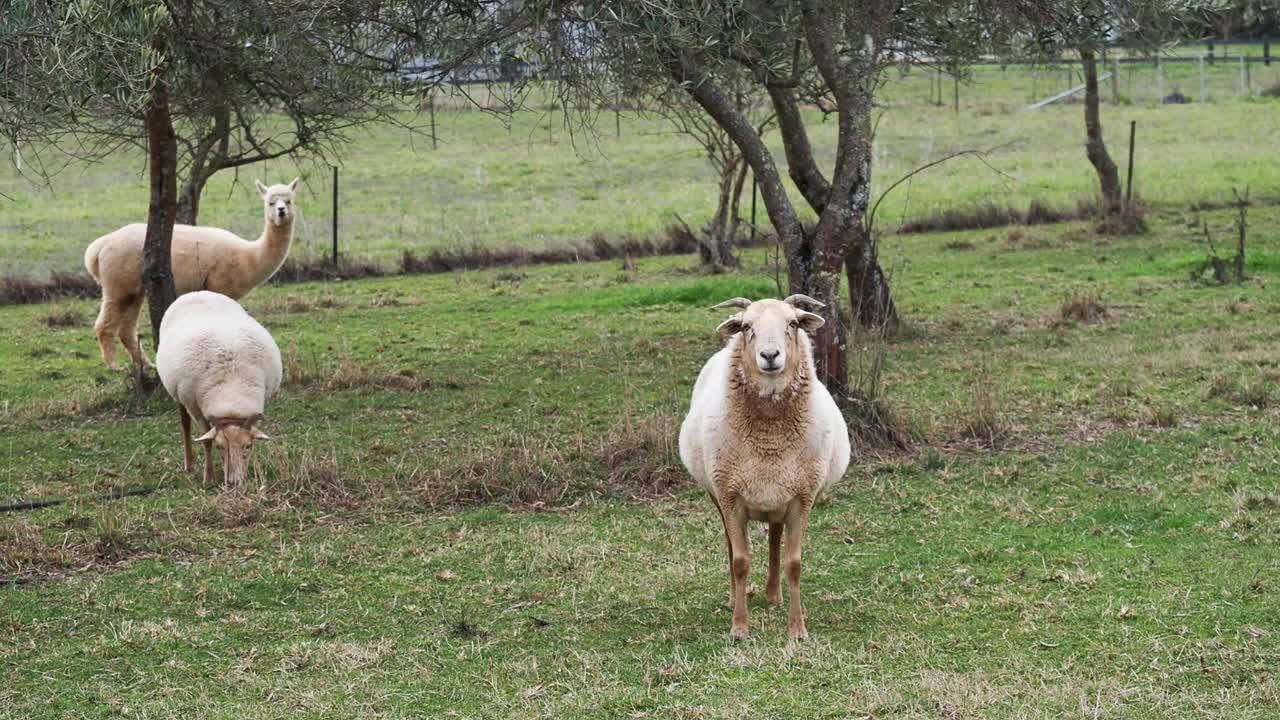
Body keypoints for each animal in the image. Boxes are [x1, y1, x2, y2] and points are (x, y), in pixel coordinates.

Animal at [87, 178, 302, 368]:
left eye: (289, 201)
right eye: (270, 202)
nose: (281, 211)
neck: (248, 256)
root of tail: (99, 247)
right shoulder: (219, 286)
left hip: (135, 288)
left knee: (126, 330)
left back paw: (146, 364)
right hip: (118, 283)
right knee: (104, 325)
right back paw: (114, 366)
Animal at [156, 288, 281, 484]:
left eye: (247, 446)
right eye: (219, 447)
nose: (234, 482)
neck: (232, 393)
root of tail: (196, 292)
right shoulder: (196, 408)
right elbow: (206, 439)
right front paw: (208, 478)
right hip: (178, 396)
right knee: (185, 426)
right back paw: (189, 464)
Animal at [675, 292, 855, 638]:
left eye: (793, 323)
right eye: (747, 326)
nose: (770, 355)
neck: (770, 440)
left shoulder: (803, 497)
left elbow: (793, 563)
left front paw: (797, 629)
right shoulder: (729, 495)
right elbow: (740, 561)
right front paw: (739, 627)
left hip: (778, 498)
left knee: (773, 538)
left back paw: (774, 594)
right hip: (717, 493)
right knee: (731, 545)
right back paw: (735, 596)